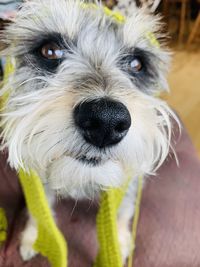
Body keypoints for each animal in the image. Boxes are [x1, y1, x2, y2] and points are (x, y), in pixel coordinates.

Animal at [0, 0, 178, 264]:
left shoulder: (130, 182)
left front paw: (120, 242)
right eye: (49, 51)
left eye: (136, 63)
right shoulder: (37, 177)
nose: (105, 121)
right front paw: (35, 237)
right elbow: (39, 208)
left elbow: (124, 209)